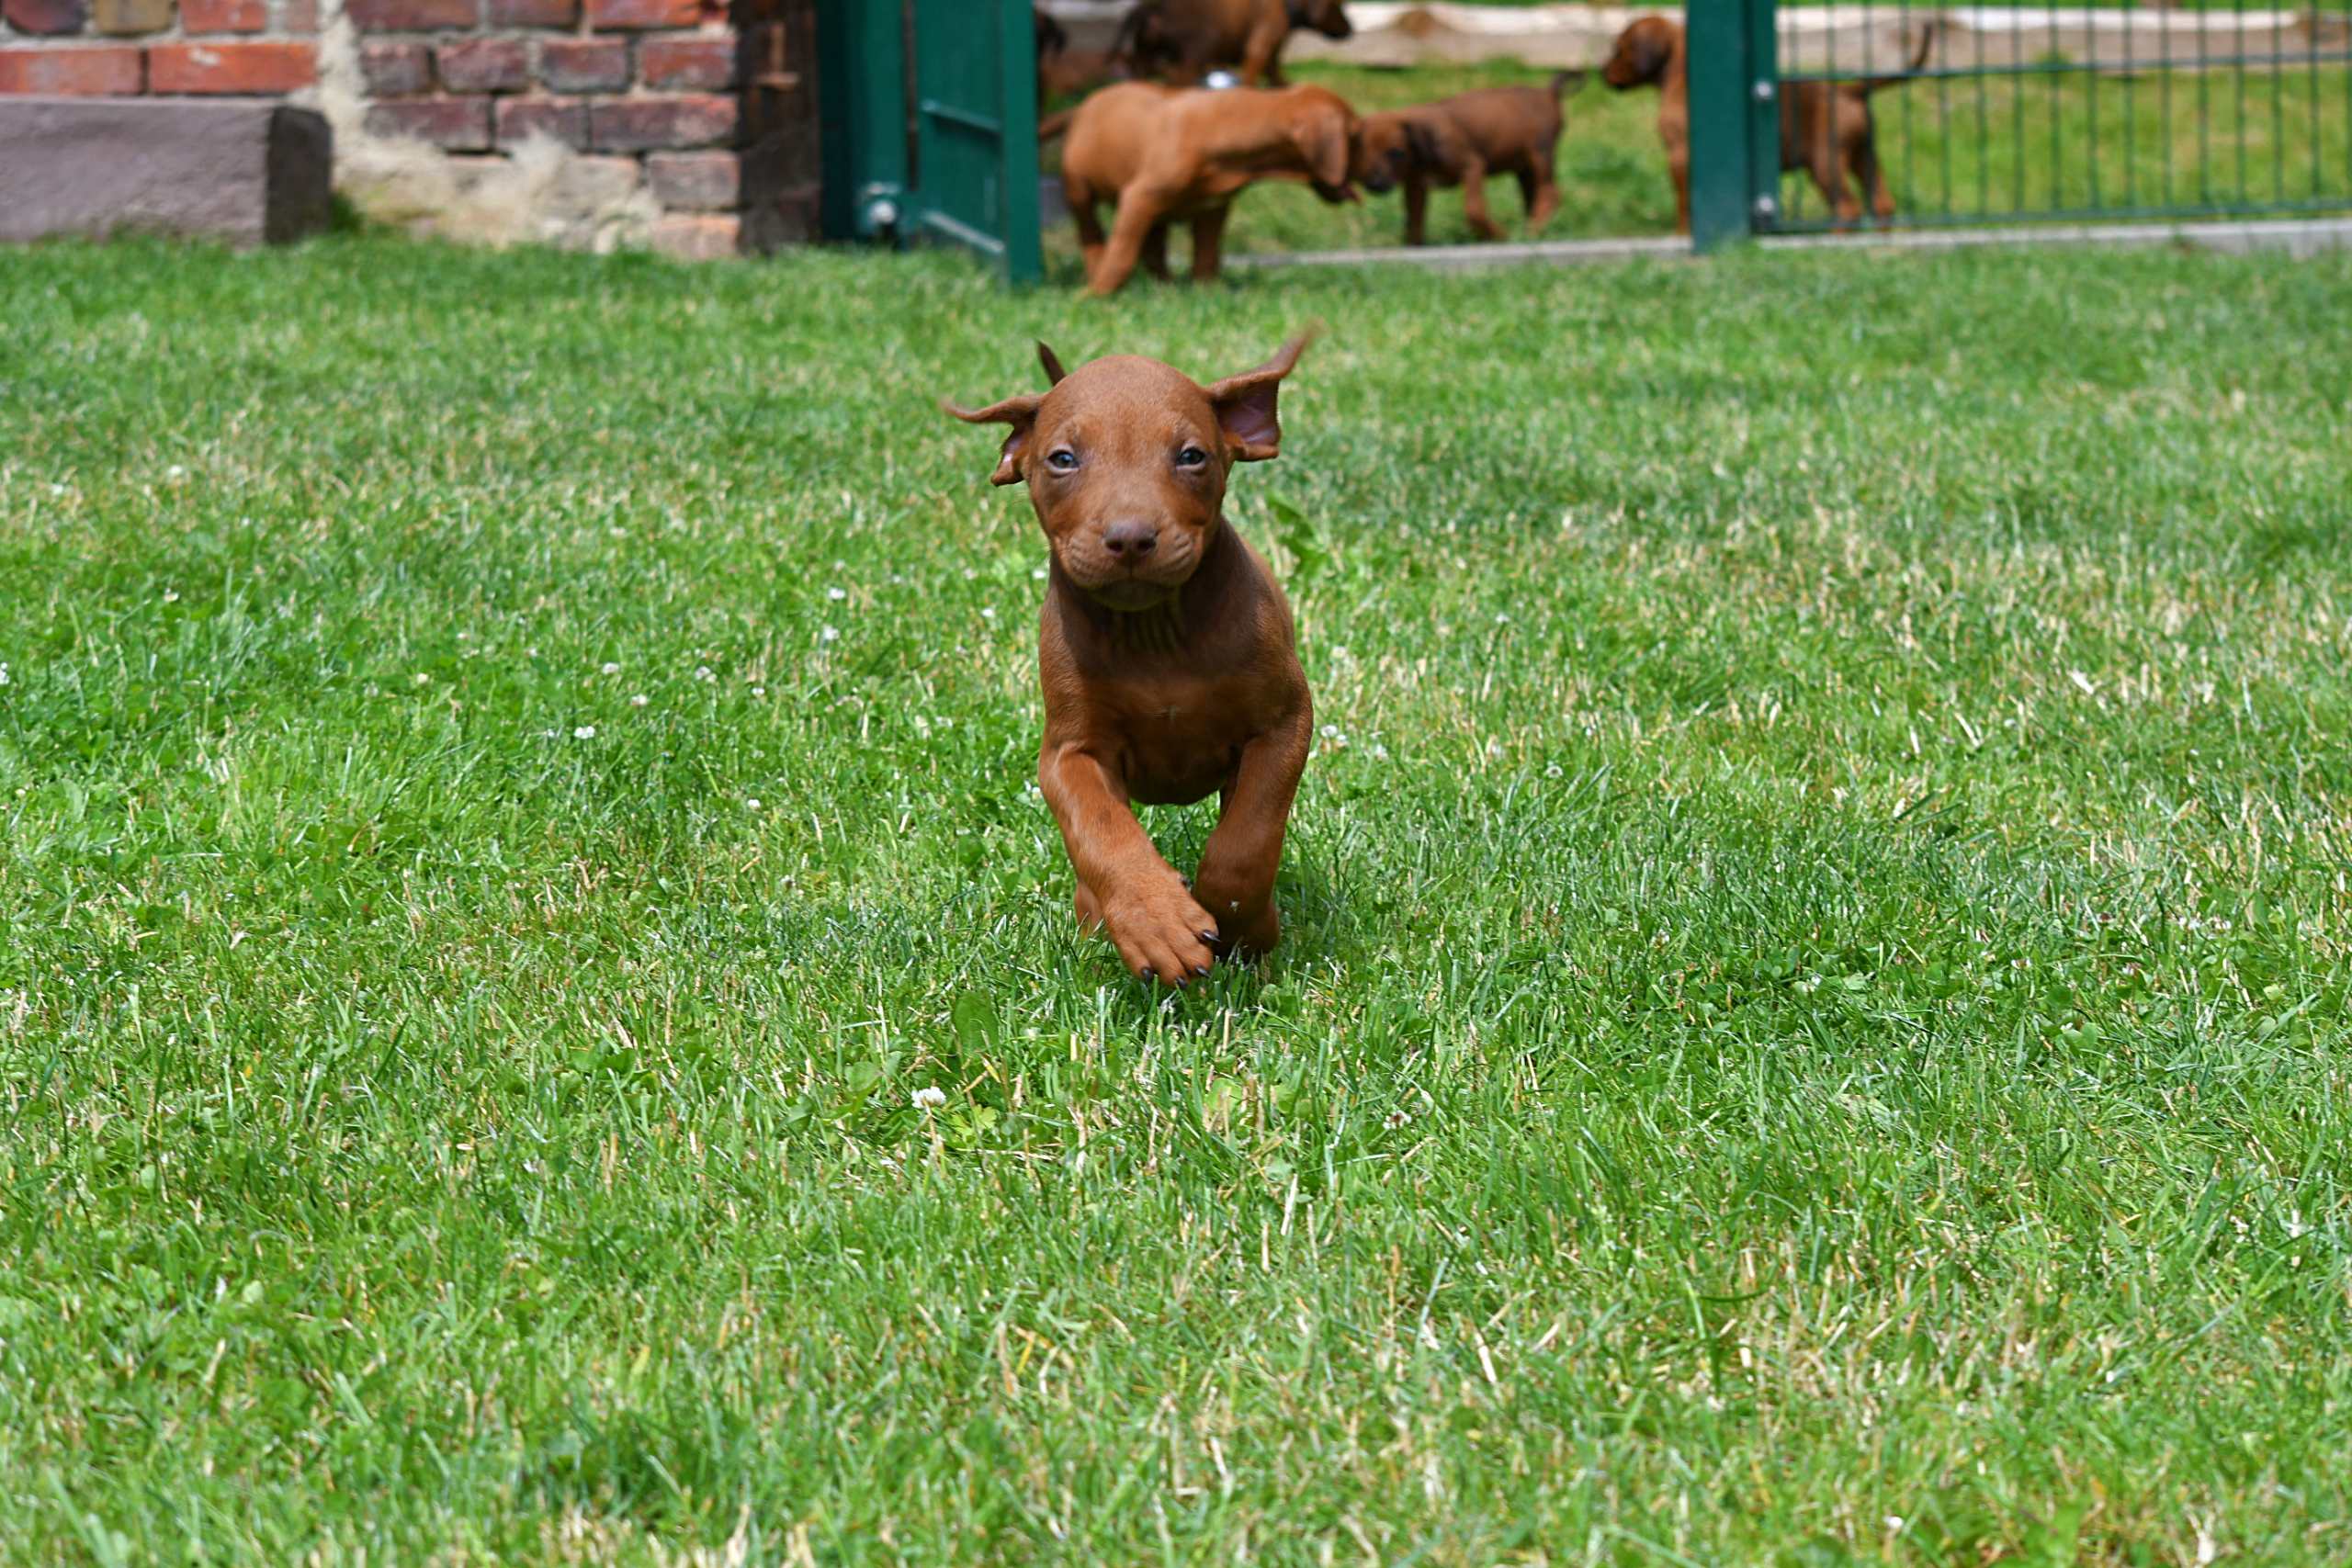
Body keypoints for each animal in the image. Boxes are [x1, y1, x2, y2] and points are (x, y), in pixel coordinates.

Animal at [947, 337, 1316, 987]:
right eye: (1063, 459)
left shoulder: (1285, 724)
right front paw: (1155, 921)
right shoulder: (1069, 753)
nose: (1130, 538)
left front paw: (1241, 922)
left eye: (1192, 456)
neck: (1154, 634)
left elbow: (1247, 841)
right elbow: (1100, 831)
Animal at [1059, 81, 1358, 294]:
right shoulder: (1138, 198)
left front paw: (1205, 292)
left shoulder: (1212, 209)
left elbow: (1206, 256)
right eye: (1356, 135)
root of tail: (1087, 103)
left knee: (1154, 249)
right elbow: (1120, 255)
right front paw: (1096, 294)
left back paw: (1165, 288)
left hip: (1156, 216)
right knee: (1092, 233)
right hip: (1080, 190)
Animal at [1351, 71, 1585, 244]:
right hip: (1524, 168)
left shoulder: (1472, 166)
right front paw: (1413, 247)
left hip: (1540, 154)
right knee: (1534, 197)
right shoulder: (1415, 185)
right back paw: (1533, 227)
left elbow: (1473, 210)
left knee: (1550, 193)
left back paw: (1532, 230)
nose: (1374, 184)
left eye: (1395, 152)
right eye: (1362, 151)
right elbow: (1414, 221)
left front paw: (1498, 236)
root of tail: (1549, 92)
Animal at [1600, 15, 1935, 233]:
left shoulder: (1680, 155)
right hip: (1863, 154)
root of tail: (1849, 90)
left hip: (1825, 161)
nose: (1601, 72)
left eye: (1619, 48)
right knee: (1883, 203)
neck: (1680, 74)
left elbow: (1685, 202)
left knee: (1847, 208)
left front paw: (1682, 234)